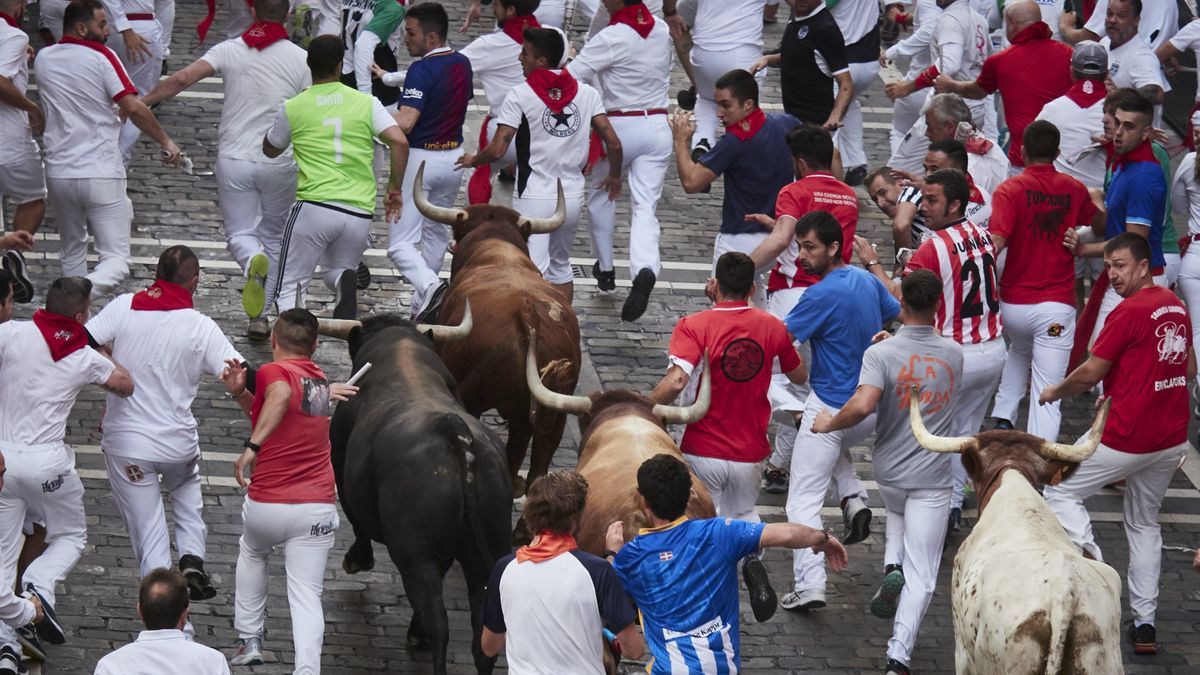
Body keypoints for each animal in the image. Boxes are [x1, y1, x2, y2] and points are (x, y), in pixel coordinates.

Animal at [324, 312, 511, 672]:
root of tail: (455, 432)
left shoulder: (339, 461)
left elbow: (356, 521)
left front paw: (358, 559)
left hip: (415, 556)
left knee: (438, 620)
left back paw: (422, 639)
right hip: (487, 550)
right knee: (482, 635)